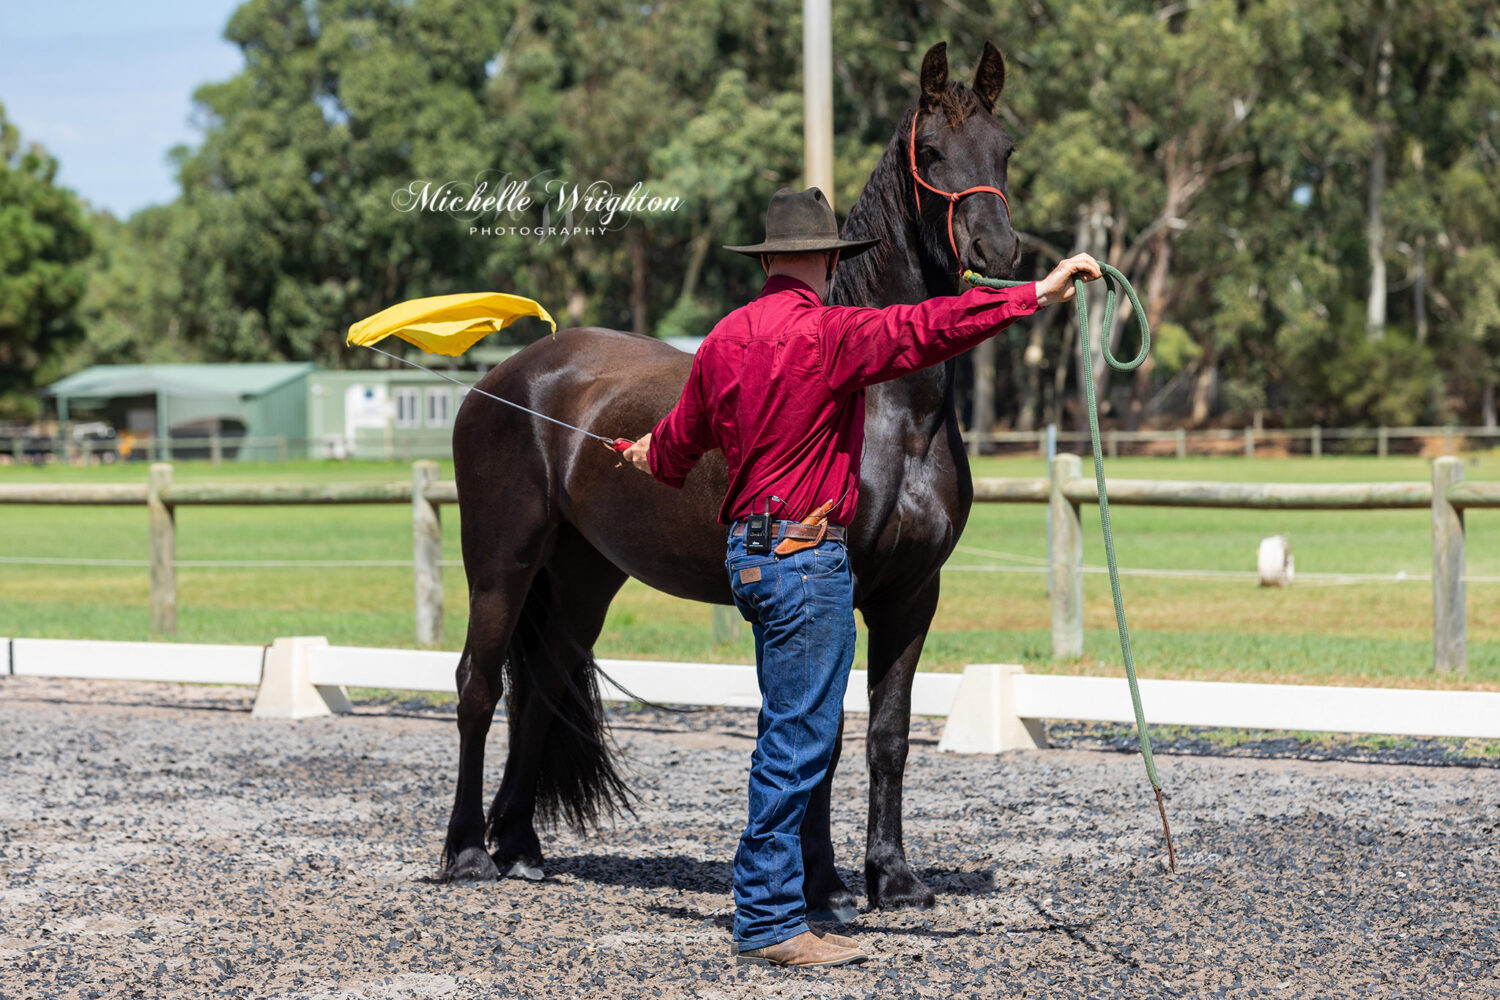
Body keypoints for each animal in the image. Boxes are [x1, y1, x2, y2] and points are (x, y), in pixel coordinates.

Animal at [444, 41, 1026, 917]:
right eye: (930, 153)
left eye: (1006, 149)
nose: (998, 252)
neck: (892, 404)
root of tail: (507, 377)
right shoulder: (835, 589)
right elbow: (822, 737)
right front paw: (823, 887)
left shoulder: (911, 594)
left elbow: (887, 736)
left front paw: (893, 878)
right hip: (502, 561)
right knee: (478, 686)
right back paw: (467, 854)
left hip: (581, 575)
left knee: (539, 689)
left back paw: (520, 849)